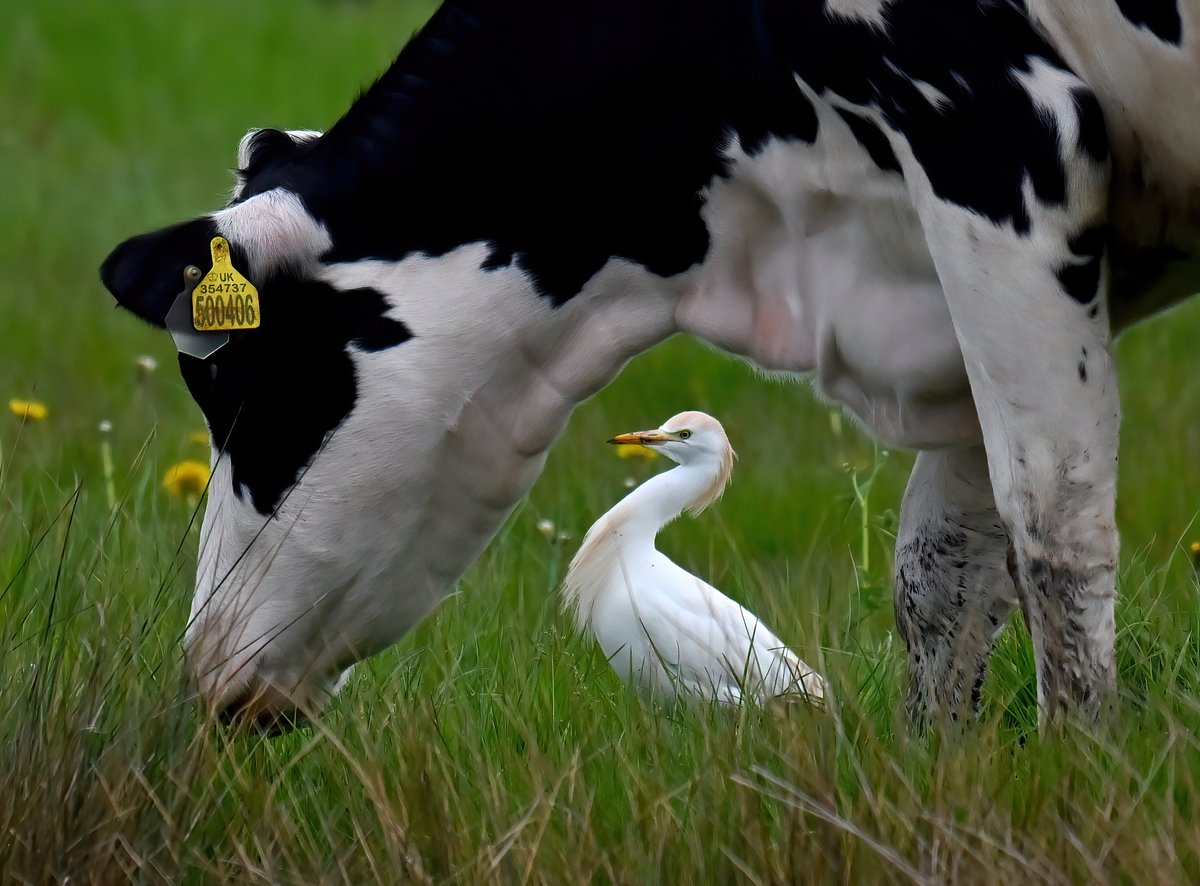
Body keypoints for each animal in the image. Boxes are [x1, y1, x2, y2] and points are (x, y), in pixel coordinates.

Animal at [100, 0, 1200, 729]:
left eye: (230, 385)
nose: (208, 668)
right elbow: (943, 580)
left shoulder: (1002, 154)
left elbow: (1055, 537)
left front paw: (1071, 777)